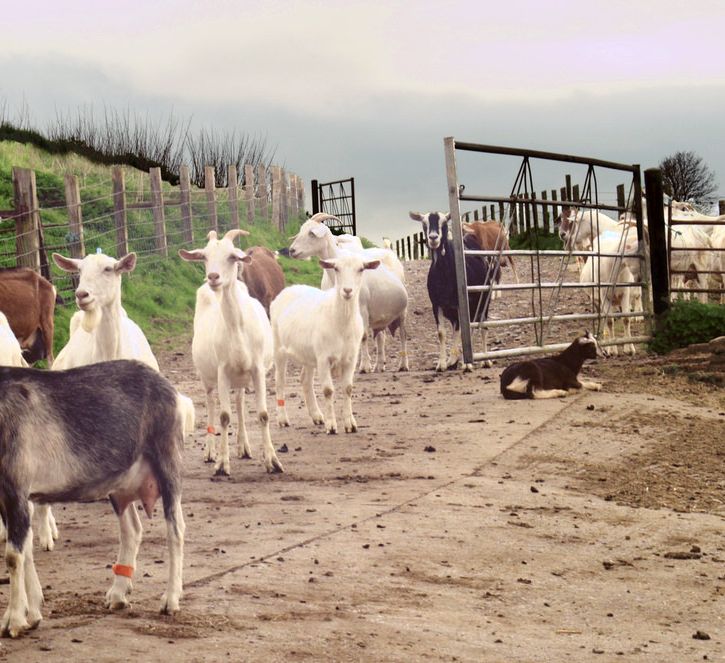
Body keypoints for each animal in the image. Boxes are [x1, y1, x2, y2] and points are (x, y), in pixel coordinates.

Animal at [0, 360, 185, 640]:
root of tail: (164, 384)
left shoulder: (16, 488)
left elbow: (13, 556)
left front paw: (13, 621)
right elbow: (25, 549)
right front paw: (32, 613)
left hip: (167, 459)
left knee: (175, 529)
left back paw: (170, 600)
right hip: (120, 485)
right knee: (132, 530)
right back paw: (118, 594)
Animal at [178, 230, 282, 478]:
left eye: (232, 257)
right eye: (204, 257)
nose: (213, 277)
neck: (237, 329)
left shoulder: (257, 370)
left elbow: (263, 414)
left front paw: (272, 461)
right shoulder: (222, 371)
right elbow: (224, 416)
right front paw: (221, 464)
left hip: (242, 376)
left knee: (240, 402)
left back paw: (244, 447)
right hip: (208, 377)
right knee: (211, 403)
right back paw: (210, 451)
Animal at [270, 254, 378, 436]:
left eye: (361, 269)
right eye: (336, 268)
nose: (347, 291)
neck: (340, 322)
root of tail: (288, 289)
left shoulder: (351, 358)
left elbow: (348, 388)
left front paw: (350, 424)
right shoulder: (323, 358)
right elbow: (328, 391)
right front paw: (331, 426)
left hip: (308, 354)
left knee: (305, 380)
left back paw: (317, 416)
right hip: (278, 348)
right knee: (280, 382)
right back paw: (283, 419)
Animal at [288, 214, 408, 374]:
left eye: (311, 233)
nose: (292, 250)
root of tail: (389, 251)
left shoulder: (362, 308)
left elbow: (363, 336)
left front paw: (364, 366)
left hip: (402, 311)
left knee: (402, 335)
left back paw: (403, 365)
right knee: (380, 336)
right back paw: (379, 365)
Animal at [410, 211, 494, 370]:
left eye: (444, 223)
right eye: (424, 224)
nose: (433, 238)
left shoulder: (462, 303)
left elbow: (464, 330)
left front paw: (466, 364)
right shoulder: (437, 304)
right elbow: (442, 333)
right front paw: (442, 364)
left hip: (483, 299)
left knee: (482, 326)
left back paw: (485, 360)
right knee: (458, 327)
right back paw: (453, 360)